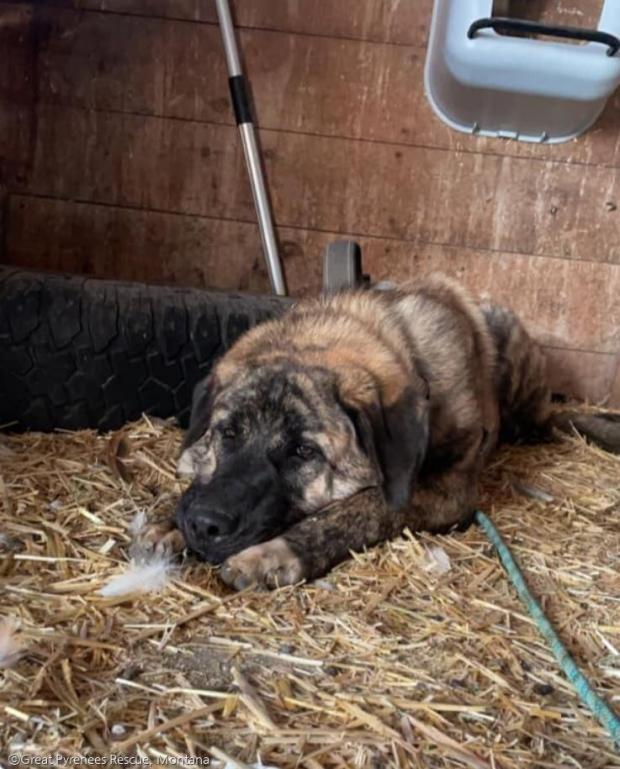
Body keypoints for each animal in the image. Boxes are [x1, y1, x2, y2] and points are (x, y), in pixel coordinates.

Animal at [149, 274, 620, 588]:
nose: (204, 525)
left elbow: (363, 507)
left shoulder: (444, 492)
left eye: (304, 452)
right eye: (227, 432)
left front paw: (274, 554)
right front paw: (170, 524)